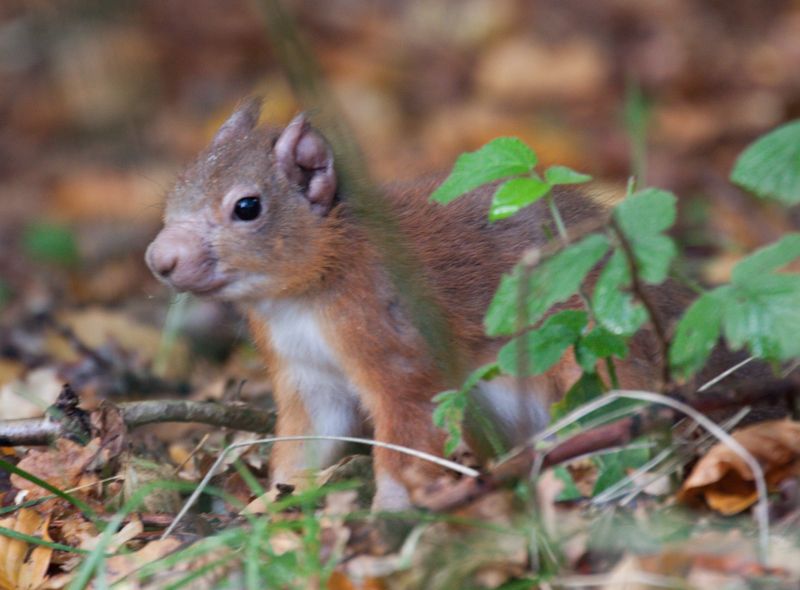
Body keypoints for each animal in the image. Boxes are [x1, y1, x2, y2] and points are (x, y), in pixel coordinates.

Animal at [145, 99, 680, 512]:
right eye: (177, 188)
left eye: (247, 207)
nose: (160, 259)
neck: (300, 298)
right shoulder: (307, 377)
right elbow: (303, 446)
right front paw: (270, 507)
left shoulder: (400, 353)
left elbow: (405, 440)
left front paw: (391, 507)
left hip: (591, 357)